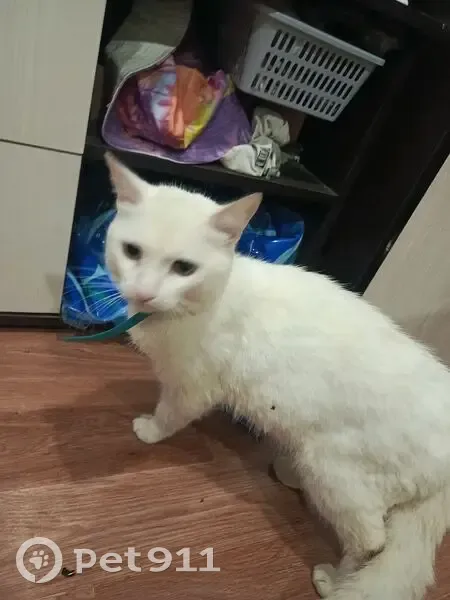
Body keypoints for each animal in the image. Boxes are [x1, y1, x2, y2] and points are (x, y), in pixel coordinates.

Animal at [105, 151, 450, 600]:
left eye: (183, 267)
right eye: (132, 251)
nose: (143, 293)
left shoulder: (193, 385)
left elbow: (170, 413)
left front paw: (149, 430)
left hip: (335, 468)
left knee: (373, 540)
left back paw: (333, 580)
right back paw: (289, 473)